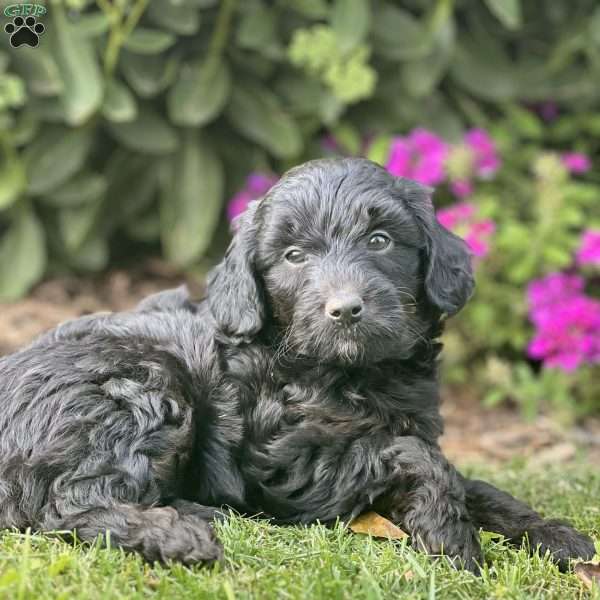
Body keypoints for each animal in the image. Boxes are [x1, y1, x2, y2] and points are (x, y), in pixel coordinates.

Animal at [0, 157, 592, 568]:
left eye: (380, 240)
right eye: (293, 256)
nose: (346, 309)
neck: (353, 375)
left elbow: (478, 485)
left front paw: (553, 533)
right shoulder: (291, 464)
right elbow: (413, 455)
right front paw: (454, 540)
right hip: (138, 382)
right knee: (68, 506)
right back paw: (180, 534)